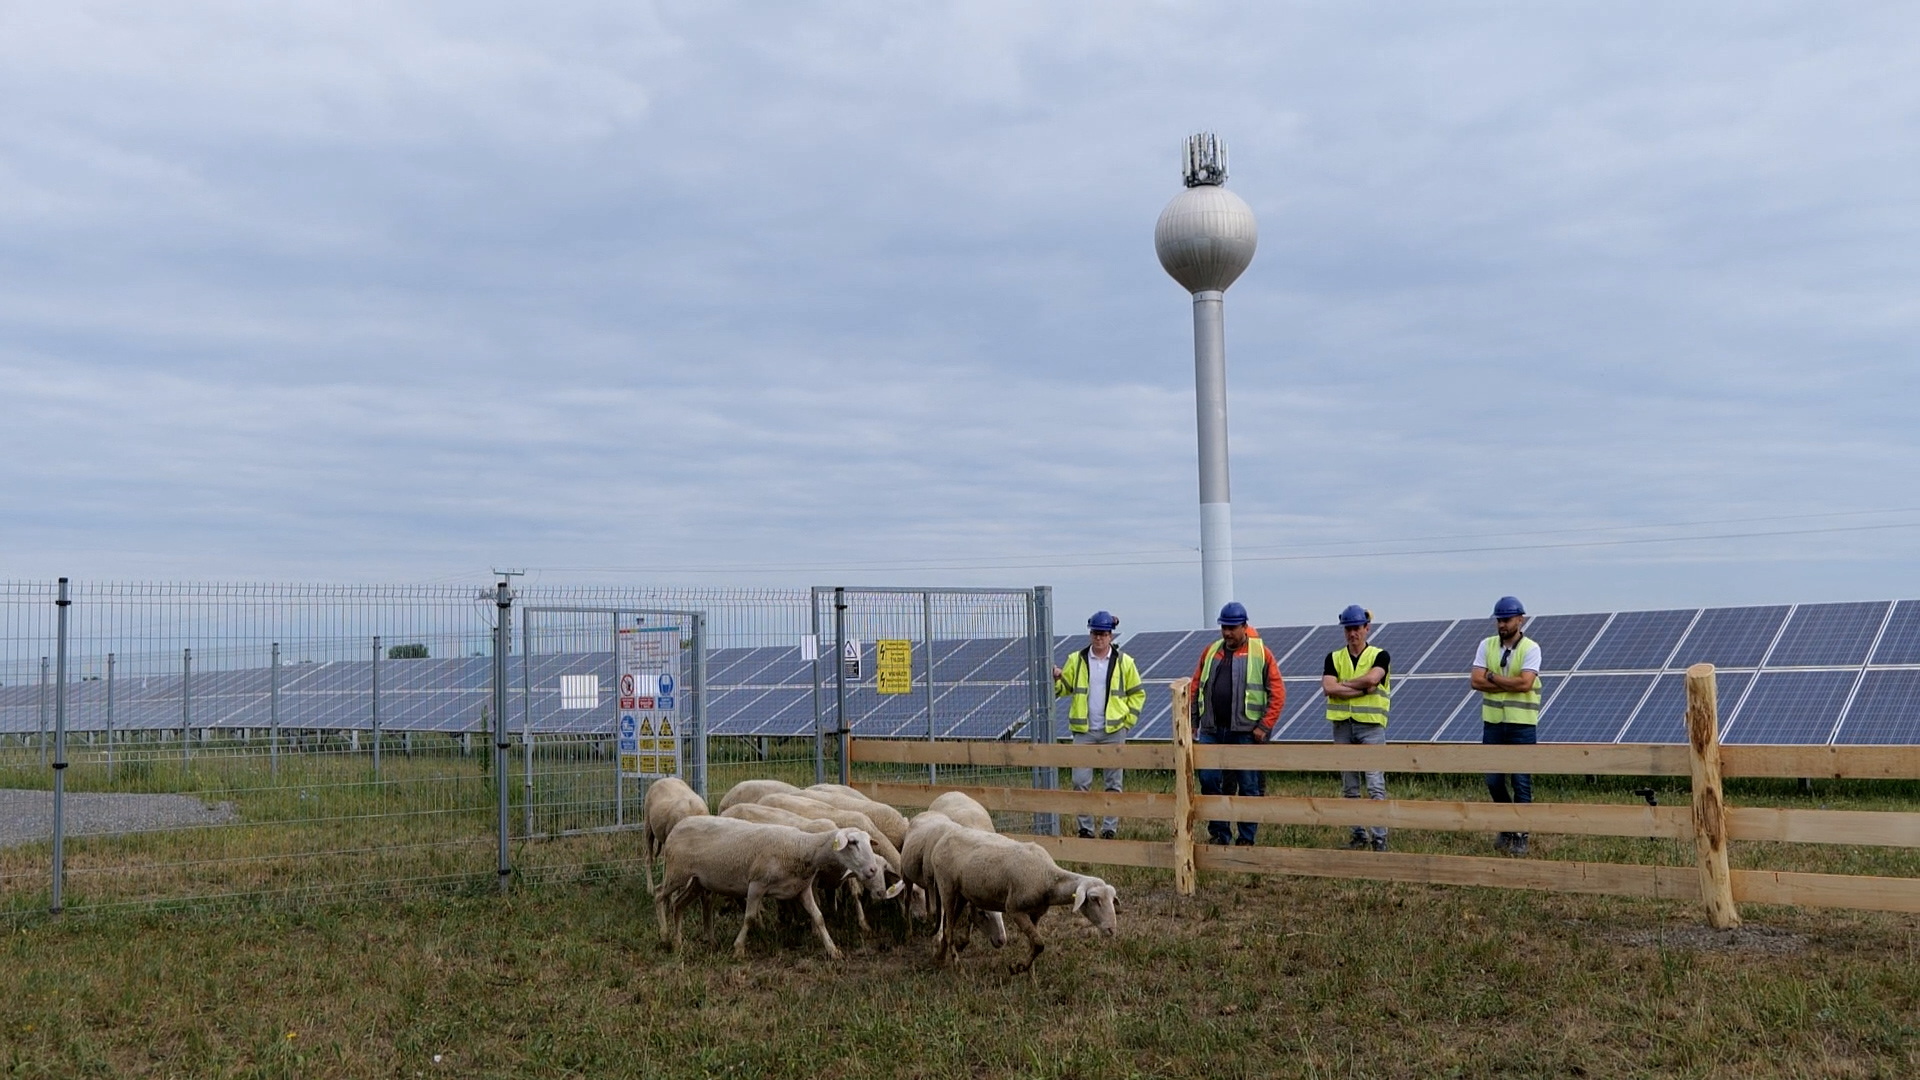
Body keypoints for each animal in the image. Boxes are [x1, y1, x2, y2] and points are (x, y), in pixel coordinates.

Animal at [660, 810, 898, 953]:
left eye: (868, 842)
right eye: (853, 842)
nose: (871, 869)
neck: (801, 848)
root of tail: (680, 824)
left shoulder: (802, 889)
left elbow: (819, 917)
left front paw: (833, 950)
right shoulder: (756, 885)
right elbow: (749, 918)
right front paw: (738, 948)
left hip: (698, 880)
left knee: (678, 904)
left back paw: (679, 941)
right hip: (676, 872)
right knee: (661, 896)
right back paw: (665, 934)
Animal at [925, 822, 1121, 968]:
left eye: (1112, 900)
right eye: (1094, 899)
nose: (1112, 929)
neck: (1048, 878)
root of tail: (943, 839)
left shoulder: (1035, 914)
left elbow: (1034, 945)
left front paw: (1029, 976)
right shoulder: (1014, 910)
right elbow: (1039, 944)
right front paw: (1018, 968)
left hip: (961, 893)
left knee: (949, 927)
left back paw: (940, 959)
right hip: (947, 887)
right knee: (948, 930)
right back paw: (959, 969)